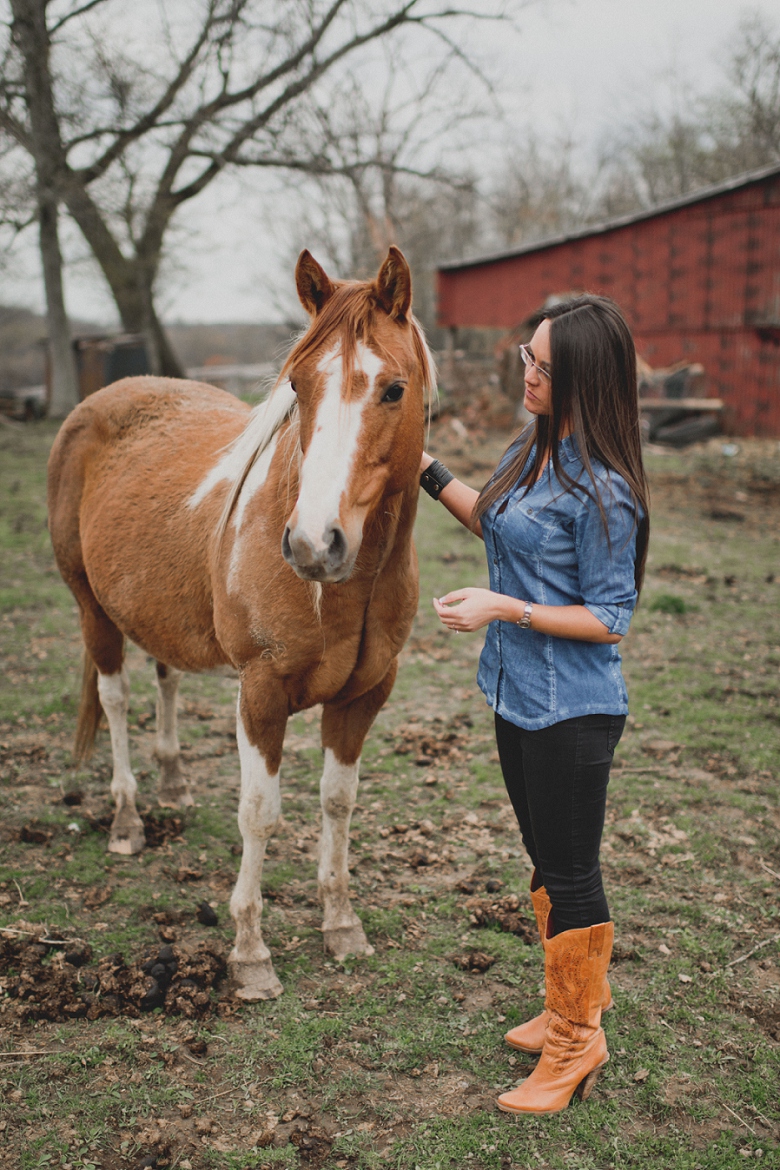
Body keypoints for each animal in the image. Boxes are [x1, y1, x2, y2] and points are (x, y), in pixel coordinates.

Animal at [47, 246, 439, 996]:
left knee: (166, 676)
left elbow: (338, 802)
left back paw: (173, 781)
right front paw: (250, 954)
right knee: (115, 699)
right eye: (298, 387)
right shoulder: (261, 693)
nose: (313, 544)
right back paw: (127, 819)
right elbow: (259, 812)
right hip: (91, 610)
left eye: (393, 389)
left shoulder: (365, 694)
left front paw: (341, 924)